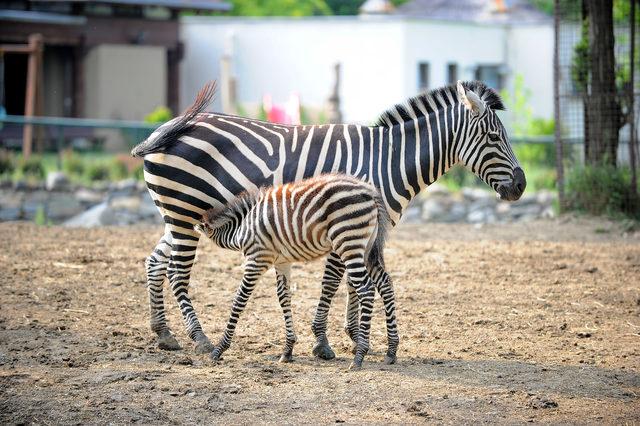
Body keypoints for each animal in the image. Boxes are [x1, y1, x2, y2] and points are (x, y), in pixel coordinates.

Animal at [195, 173, 396, 370]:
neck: (240, 228)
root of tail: (370, 192)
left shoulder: (257, 258)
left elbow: (239, 299)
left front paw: (219, 349)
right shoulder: (282, 262)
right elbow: (284, 297)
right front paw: (288, 350)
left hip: (348, 242)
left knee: (366, 290)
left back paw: (360, 355)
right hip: (367, 247)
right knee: (385, 283)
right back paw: (391, 351)